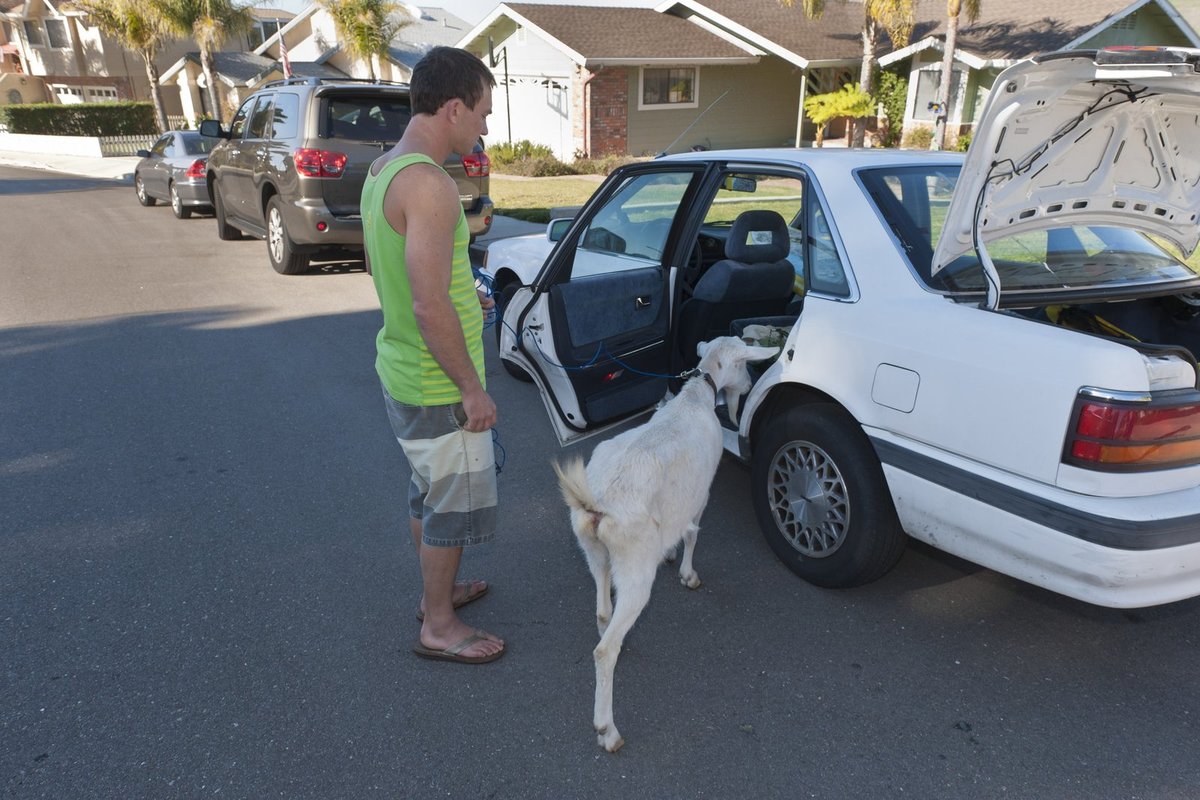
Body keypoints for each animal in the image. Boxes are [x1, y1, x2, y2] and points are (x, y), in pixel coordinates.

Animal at [549, 333, 777, 753]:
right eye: (743, 363)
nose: (750, 386)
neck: (694, 399)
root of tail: (597, 504)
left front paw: (671, 554)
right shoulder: (701, 491)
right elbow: (692, 531)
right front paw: (688, 573)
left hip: (594, 551)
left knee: (604, 611)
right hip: (635, 563)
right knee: (604, 650)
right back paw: (608, 730)